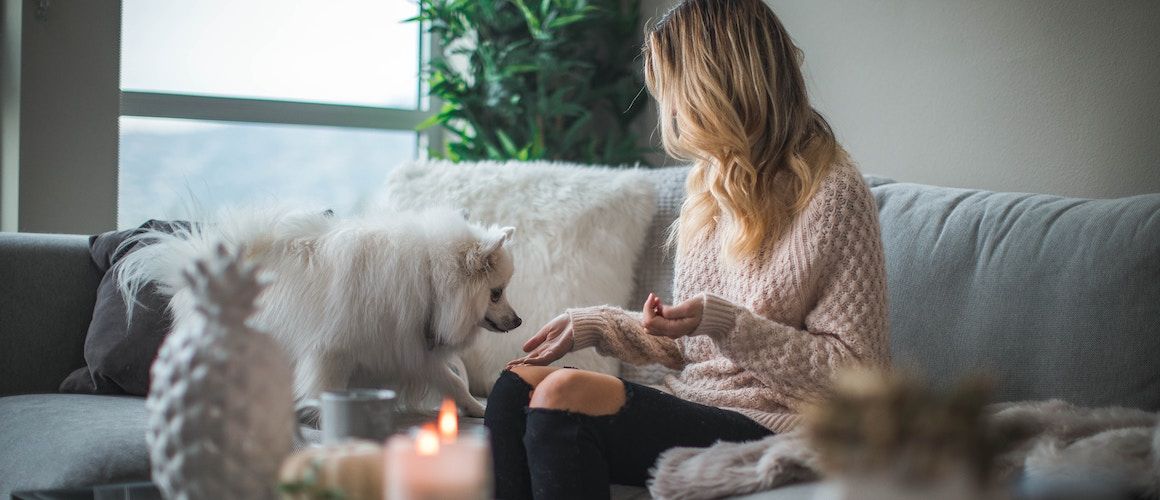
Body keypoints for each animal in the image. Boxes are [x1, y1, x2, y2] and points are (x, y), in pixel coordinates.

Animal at [116, 205, 517, 417]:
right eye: (496, 294)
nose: (519, 321)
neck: (430, 278)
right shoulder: (333, 351)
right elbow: (326, 387)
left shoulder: (408, 348)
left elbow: (452, 381)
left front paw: (477, 409)